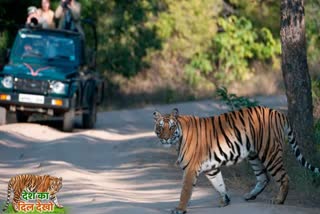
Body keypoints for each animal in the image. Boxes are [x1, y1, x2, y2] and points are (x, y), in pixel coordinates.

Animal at [153, 106, 320, 214]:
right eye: (160, 127)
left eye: (171, 127)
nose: (165, 138)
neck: (178, 138)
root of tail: (278, 112)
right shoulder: (211, 168)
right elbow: (219, 184)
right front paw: (225, 200)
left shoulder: (190, 169)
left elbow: (185, 191)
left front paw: (179, 209)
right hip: (254, 155)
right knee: (263, 177)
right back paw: (250, 195)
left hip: (269, 152)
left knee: (284, 177)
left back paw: (279, 200)